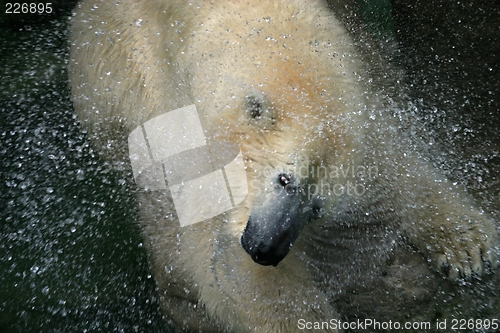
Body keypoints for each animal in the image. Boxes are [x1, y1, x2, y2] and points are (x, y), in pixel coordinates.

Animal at [68, 0, 498, 330]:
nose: (267, 249)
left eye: (318, 209)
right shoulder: (180, 118)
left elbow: (396, 167)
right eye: (284, 179)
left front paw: (469, 249)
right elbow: (225, 261)